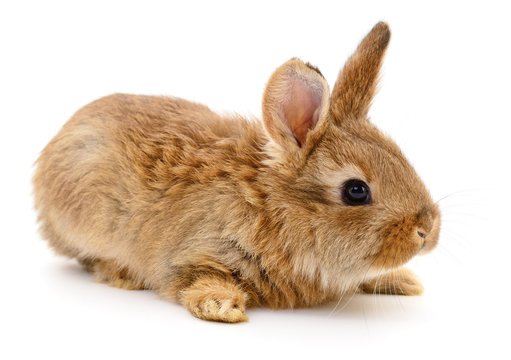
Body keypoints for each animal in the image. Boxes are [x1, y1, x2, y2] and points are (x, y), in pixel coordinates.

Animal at [33, 22, 440, 324]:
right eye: (356, 191)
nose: (427, 230)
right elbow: (198, 278)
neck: (274, 211)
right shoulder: (194, 254)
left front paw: (404, 281)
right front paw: (222, 306)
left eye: (401, 157)